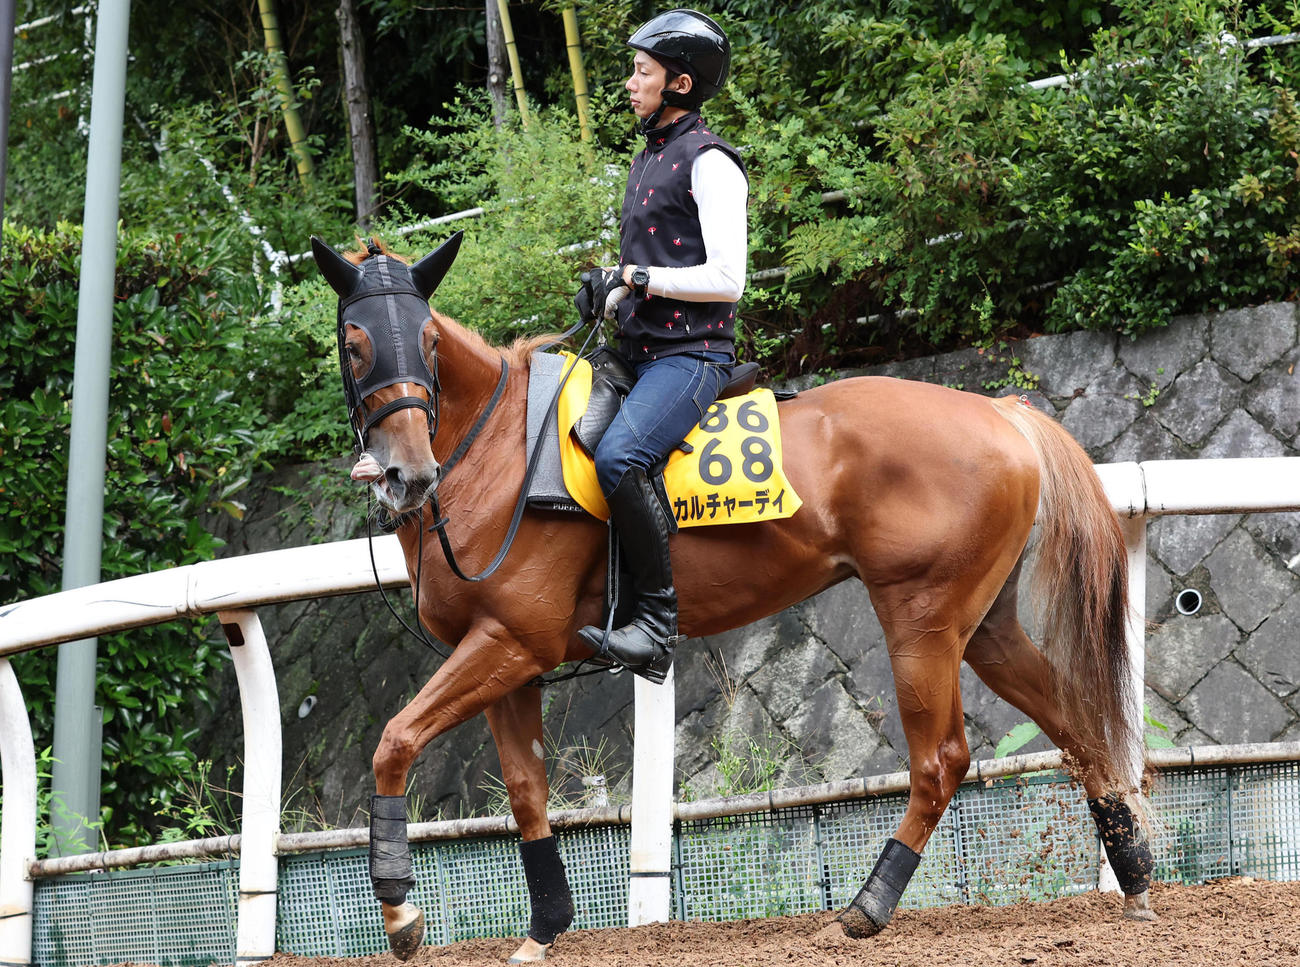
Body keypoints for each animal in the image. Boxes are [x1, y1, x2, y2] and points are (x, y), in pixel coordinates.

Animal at [309, 232, 1156, 964]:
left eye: (426, 341)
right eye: (355, 341)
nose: (407, 474)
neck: (503, 454)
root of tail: (1002, 410)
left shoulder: (512, 641)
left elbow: (394, 739)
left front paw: (400, 912)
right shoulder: (508, 659)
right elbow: (525, 791)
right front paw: (544, 928)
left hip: (920, 616)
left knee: (942, 757)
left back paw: (865, 908)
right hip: (983, 626)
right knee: (1077, 723)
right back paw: (1137, 877)